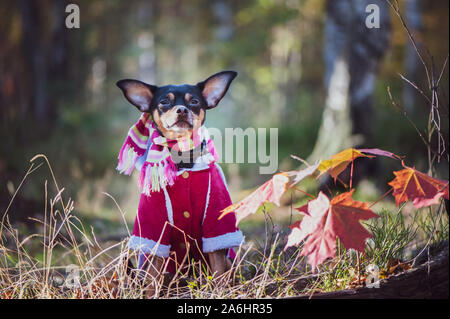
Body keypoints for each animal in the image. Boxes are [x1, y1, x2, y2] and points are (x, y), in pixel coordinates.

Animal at [115, 70, 243, 292]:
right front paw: (150, 294)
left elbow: (218, 269)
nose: (182, 109)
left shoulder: (215, 220)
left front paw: (219, 292)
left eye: (194, 101)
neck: (183, 159)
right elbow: (152, 277)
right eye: (164, 102)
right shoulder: (154, 227)